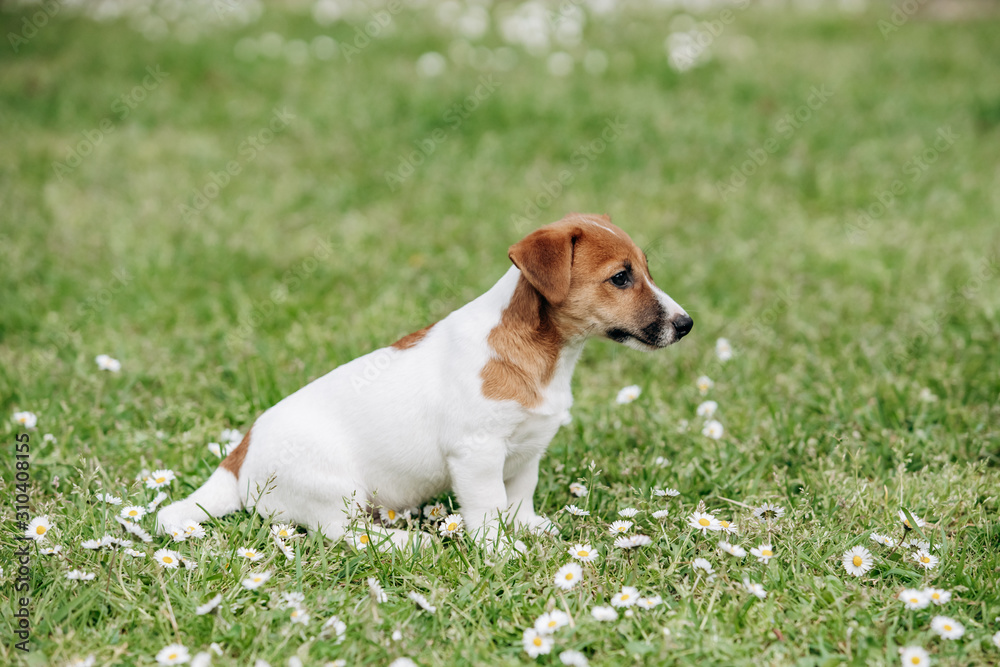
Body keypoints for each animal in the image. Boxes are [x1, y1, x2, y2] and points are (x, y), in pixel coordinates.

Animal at [158, 214, 696, 548]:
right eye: (621, 278)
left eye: (645, 270)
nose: (687, 324)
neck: (545, 356)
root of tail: (239, 457)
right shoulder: (476, 454)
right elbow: (488, 509)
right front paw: (501, 551)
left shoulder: (527, 451)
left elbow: (519, 498)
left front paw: (528, 530)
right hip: (336, 490)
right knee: (346, 534)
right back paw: (407, 544)